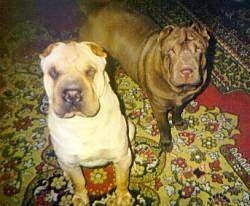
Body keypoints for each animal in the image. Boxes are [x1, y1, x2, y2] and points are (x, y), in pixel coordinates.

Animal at [39, 41, 135, 205]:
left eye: (90, 71)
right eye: (53, 72)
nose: (72, 94)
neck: (83, 123)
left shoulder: (121, 158)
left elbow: (122, 179)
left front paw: (123, 197)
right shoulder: (72, 163)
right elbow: (78, 182)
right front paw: (80, 198)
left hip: (132, 128)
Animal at [79, 0, 209, 150]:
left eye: (198, 49)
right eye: (171, 51)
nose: (186, 71)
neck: (179, 90)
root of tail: (95, 11)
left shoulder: (185, 99)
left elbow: (178, 111)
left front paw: (178, 122)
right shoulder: (159, 108)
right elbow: (164, 126)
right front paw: (166, 142)